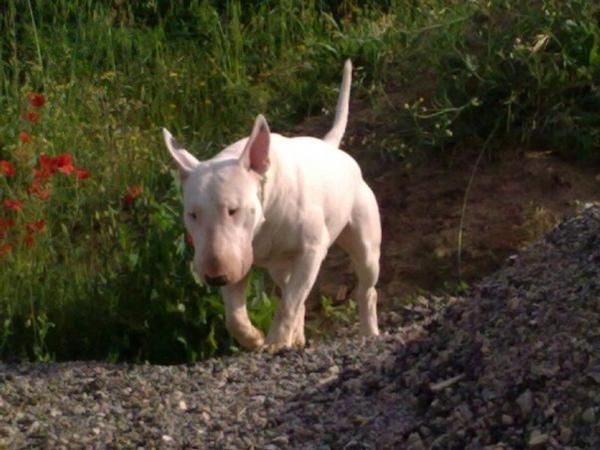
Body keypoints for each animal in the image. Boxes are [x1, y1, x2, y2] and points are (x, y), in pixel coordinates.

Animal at [163, 59, 380, 352]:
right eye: (192, 215)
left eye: (233, 210)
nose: (215, 277)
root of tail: (331, 146)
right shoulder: (238, 254)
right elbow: (235, 316)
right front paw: (254, 338)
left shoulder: (311, 250)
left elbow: (288, 303)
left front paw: (275, 342)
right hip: (279, 265)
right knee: (293, 291)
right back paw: (296, 337)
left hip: (363, 240)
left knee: (365, 289)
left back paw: (369, 332)